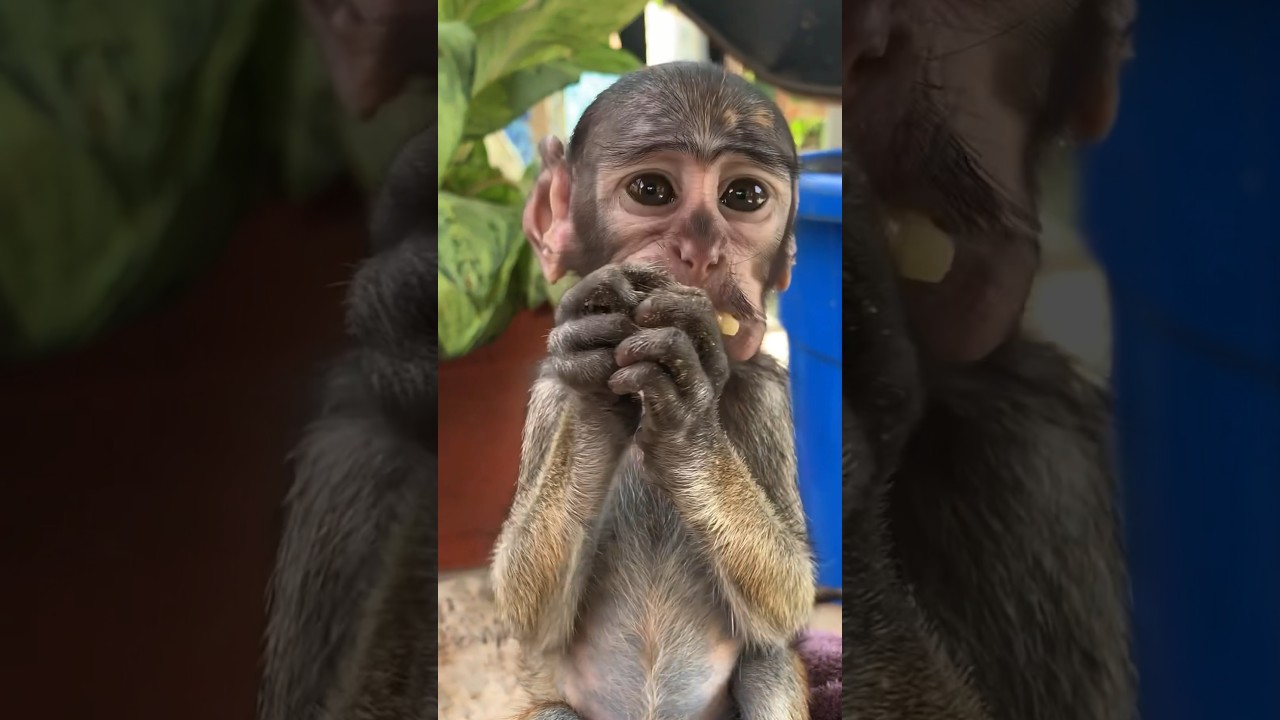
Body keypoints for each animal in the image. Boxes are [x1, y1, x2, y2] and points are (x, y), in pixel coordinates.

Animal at [491, 62, 817, 720]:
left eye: (744, 197)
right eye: (651, 190)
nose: (702, 251)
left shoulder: (767, 391)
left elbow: (789, 605)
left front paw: (687, 426)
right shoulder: (548, 391)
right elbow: (528, 619)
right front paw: (595, 406)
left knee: (767, 663)